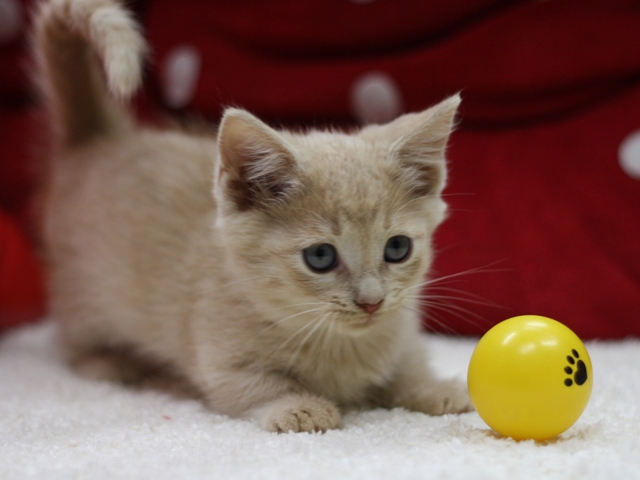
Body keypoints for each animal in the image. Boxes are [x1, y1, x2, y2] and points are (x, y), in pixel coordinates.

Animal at [32, 0, 472, 434]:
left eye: (397, 248)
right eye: (320, 257)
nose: (371, 302)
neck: (336, 341)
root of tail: (101, 139)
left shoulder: (401, 330)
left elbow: (408, 365)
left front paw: (435, 388)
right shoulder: (221, 360)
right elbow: (256, 387)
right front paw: (299, 407)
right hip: (82, 293)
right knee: (76, 341)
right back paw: (113, 363)